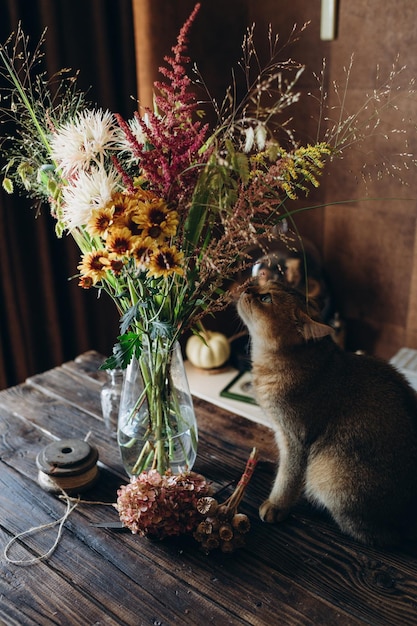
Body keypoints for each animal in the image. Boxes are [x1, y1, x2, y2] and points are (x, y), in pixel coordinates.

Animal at [237, 278, 417, 540]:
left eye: (266, 298)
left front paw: (276, 505)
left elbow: (289, 476)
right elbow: (285, 467)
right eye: (263, 282)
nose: (245, 287)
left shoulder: (296, 439)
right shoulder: (282, 434)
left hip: (327, 471)